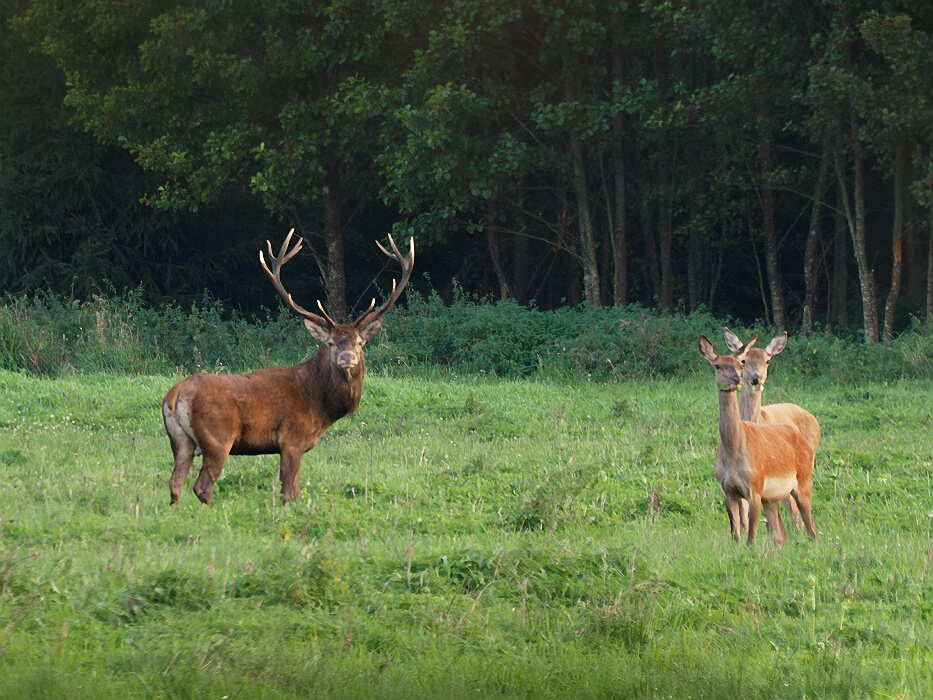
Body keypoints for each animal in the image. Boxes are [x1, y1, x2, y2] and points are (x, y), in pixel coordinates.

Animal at [162, 229, 414, 507]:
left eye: (360, 342)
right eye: (330, 343)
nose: (346, 358)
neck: (320, 405)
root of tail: (174, 396)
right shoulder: (292, 439)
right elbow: (289, 492)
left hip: (180, 442)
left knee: (174, 483)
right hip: (218, 438)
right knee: (202, 486)